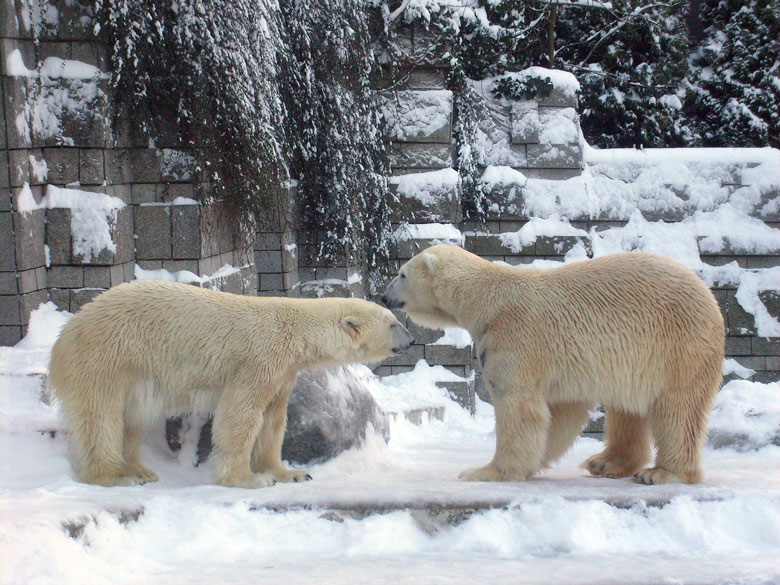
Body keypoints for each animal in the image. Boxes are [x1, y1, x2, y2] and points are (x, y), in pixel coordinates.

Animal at [48, 280, 414, 486]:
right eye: (393, 323)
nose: (411, 341)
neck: (294, 330)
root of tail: (64, 335)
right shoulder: (260, 359)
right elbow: (241, 415)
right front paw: (249, 479)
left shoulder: (285, 372)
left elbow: (273, 420)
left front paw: (290, 473)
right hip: (108, 356)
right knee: (100, 416)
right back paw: (115, 476)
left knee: (133, 417)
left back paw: (140, 470)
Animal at [384, 243, 724, 484]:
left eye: (402, 274)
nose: (386, 296)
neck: (485, 298)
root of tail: (709, 298)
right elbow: (560, 412)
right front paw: (533, 462)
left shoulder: (516, 337)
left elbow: (519, 406)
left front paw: (485, 471)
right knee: (626, 408)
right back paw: (605, 462)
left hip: (677, 345)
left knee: (678, 408)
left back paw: (663, 473)